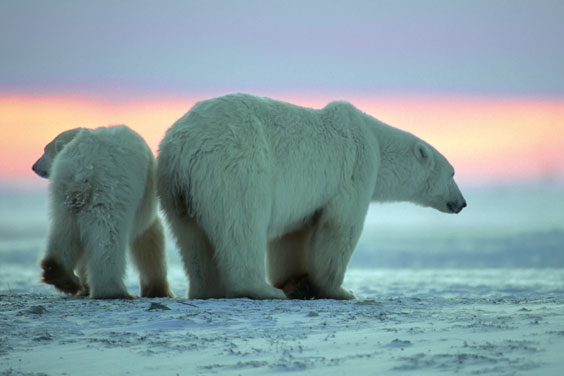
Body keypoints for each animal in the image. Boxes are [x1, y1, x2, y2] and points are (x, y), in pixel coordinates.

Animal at [32, 126, 173, 300]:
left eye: (45, 150)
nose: (34, 166)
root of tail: (82, 160)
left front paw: (85, 287)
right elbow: (149, 236)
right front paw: (159, 290)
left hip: (65, 189)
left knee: (63, 227)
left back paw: (62, 275)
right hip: (110, 187)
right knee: (107, 235)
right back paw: (114, 290)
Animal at [159, 94, 468, 300]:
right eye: (452, 172)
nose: (462, 203)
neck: (376, 141)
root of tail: (183, 144)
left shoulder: (302, 198)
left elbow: (292, 236)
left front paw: (297, 284)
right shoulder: (354, 168)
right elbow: (340, 228)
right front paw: (342, 290)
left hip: (178, 189)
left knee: (191, 238)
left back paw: (206, 289)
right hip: (237, 166)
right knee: (242, 225)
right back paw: (262, 290)